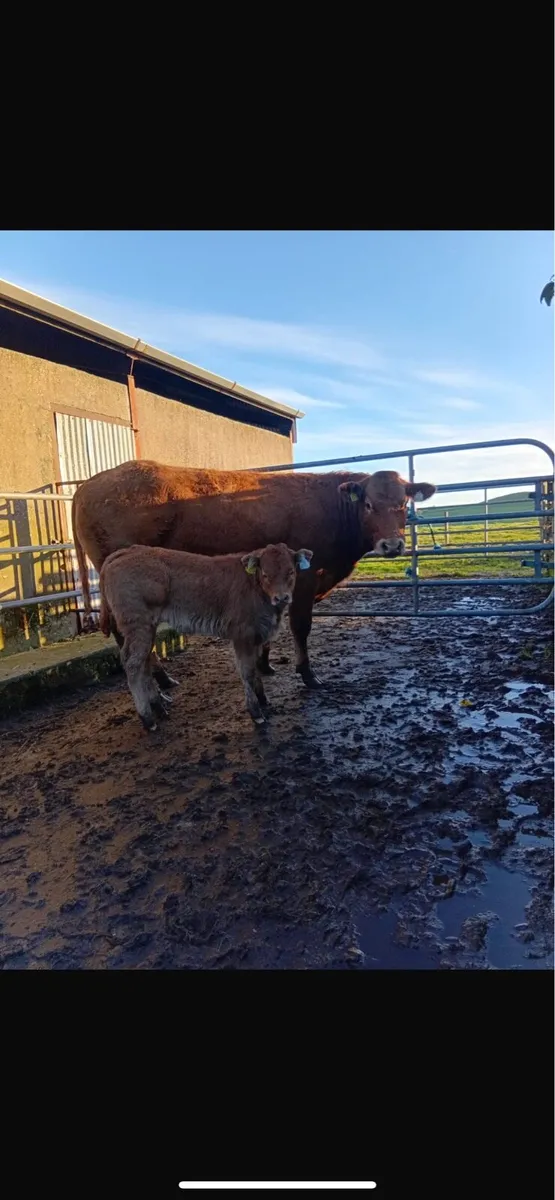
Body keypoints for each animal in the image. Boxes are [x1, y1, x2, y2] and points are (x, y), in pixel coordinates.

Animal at [73, 460, 436, 690]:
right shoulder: (305, 579)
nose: (392, 545)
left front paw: (265, 663)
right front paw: (307, 674)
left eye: (403, 504)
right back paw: (160, 682)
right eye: (369, 505)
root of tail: (88, 484)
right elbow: (300, 626)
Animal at [99, 542, 313, 731]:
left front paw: (263, 699)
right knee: (132, 663)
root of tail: (125, 552)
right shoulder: (242, 635)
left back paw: (158, 708)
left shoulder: (257, 635)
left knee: (144, 661)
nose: (282, 597)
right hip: (138, 624)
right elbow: (247, 671)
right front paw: (256, 712)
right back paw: (148, 719)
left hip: (147, 627)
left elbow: (255, 669)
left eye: (291, 572)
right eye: (266, 574)